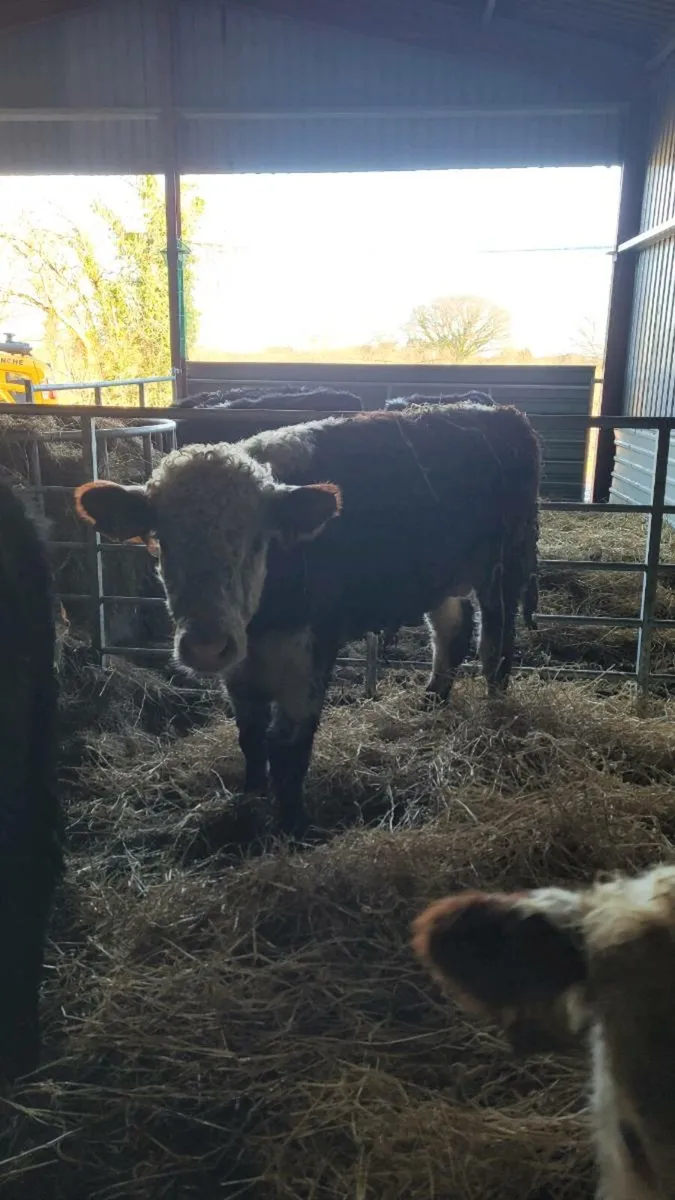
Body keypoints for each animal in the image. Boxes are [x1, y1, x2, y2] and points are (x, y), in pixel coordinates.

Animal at [75, 402, 540, 836]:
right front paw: (251, 798)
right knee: (451, 630)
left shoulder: (308, 659)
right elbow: (250, 737)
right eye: (162, 541)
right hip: (442, 575)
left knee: (495, 645)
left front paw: (293, 826)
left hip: (504, 566)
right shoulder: (240, 669)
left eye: (257, 541)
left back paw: (495, 709)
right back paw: (432, 700)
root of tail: (500, 412)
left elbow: (290, 748)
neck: (262, 620)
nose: (206, 646)